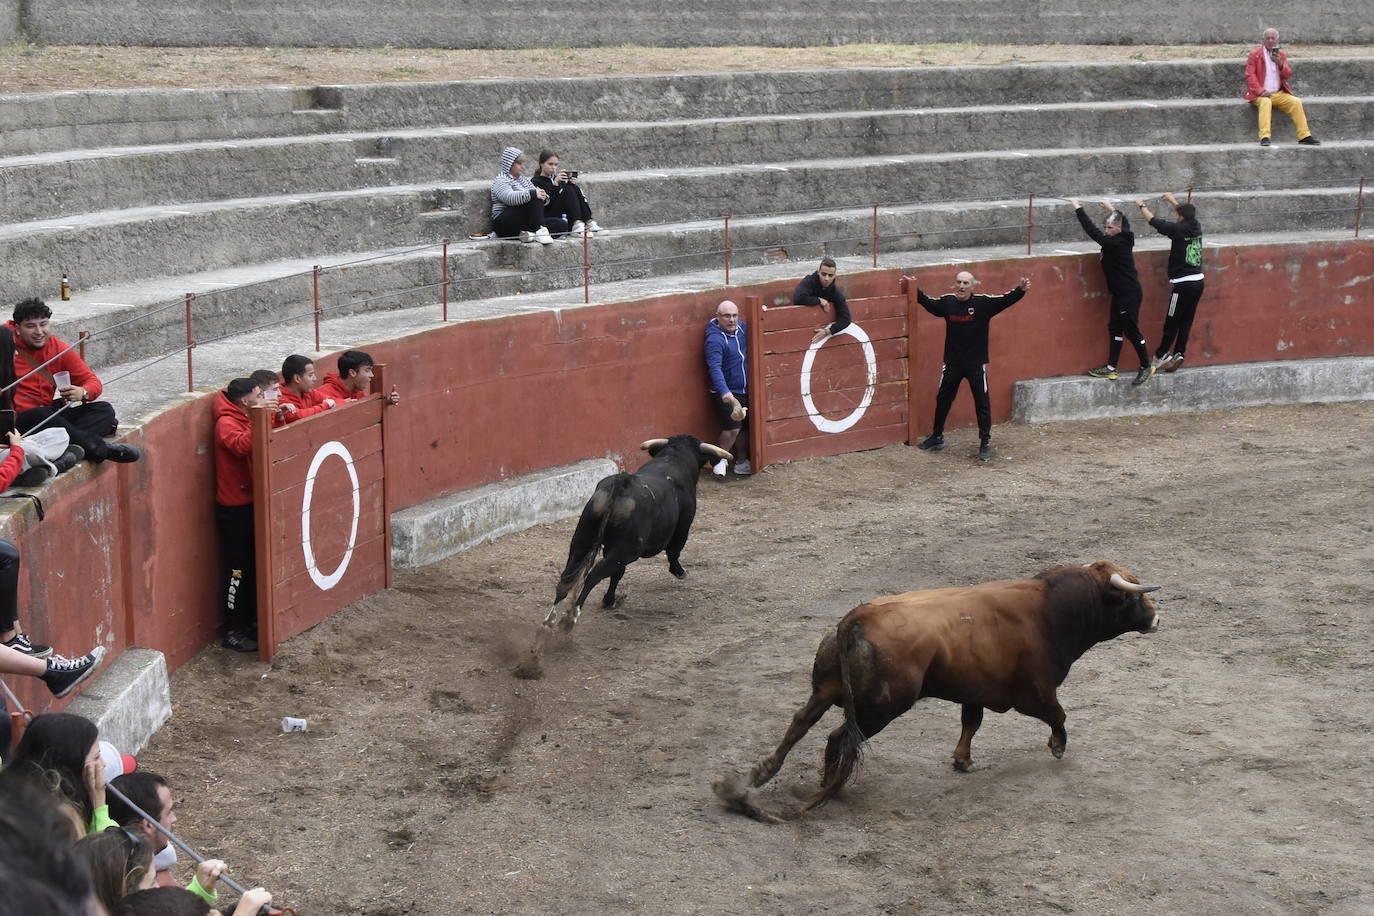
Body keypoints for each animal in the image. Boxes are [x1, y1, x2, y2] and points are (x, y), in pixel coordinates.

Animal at [516, 433, 730, 678]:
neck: (674, 458)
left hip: (582, 542)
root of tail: (620, 486)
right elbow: (673, 551)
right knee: (595, 574)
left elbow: (617, 575)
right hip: (625, 550)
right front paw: (679, 571)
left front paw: (609, 600)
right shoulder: (682, 527)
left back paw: (547, 625)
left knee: (567, 579)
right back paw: (569, 619)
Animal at [719, 563, 1159, 818]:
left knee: (801, 724)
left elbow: (971, 722)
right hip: (879, 709)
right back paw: (830, 788)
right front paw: (1057, 747)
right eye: (1131, 598)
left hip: (826, 689)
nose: (1156, 618)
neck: (1049, 610)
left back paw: (759, 781)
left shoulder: (975, 691)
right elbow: (1059, 714)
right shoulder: (1034, 691)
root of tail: (858, 617)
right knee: (838, 738)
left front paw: (962, 761)